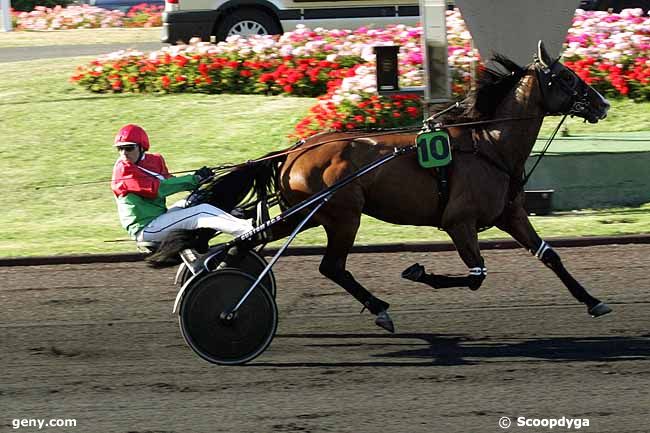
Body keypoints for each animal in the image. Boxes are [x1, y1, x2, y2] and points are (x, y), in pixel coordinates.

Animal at [149, 42, 612, 332]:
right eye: (567, 77)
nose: (603, 103)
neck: (487, 144)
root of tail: (296, 152)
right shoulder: (459, 222)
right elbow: (476, 275)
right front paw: (418, 271)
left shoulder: (509, 214)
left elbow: (550, 256)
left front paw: (593, 300)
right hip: (340, 215)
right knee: (329, 266)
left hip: (309, 214)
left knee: (249, 245)